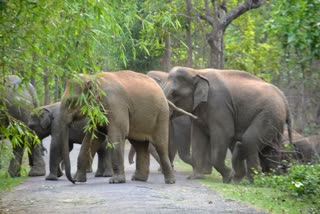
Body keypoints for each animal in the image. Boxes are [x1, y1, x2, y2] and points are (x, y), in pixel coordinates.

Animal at [164, 66, 292, 182]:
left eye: (174, 93)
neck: (196, 71)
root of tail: (284, 99)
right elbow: (198, 138)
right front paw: (194, 177)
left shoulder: (218, 104)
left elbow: (225, 133)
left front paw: (228, 177)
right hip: (275, 120)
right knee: (271, 148)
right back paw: (265, 179)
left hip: (269, 114)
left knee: (249, 141)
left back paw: (253, 180)